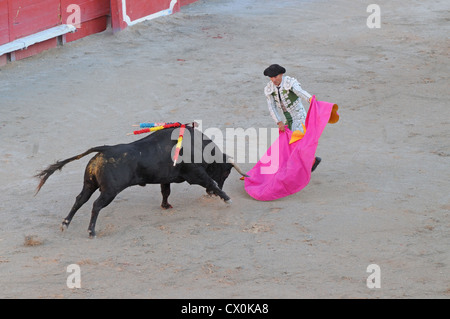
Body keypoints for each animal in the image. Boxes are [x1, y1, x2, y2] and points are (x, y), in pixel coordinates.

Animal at [34, 127, 248, 238]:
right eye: (226, 171)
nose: (210, 196)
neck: (196, 146)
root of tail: (104, 149)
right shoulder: (195, 175)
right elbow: (210, 182)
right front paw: (227, 198)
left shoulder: (165, 179)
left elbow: (165, 191)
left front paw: (166, 206)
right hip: (110, 191)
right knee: (96, 205)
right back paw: (91, 231)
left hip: (89, 184)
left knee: (80, 200)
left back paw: (65, 224)